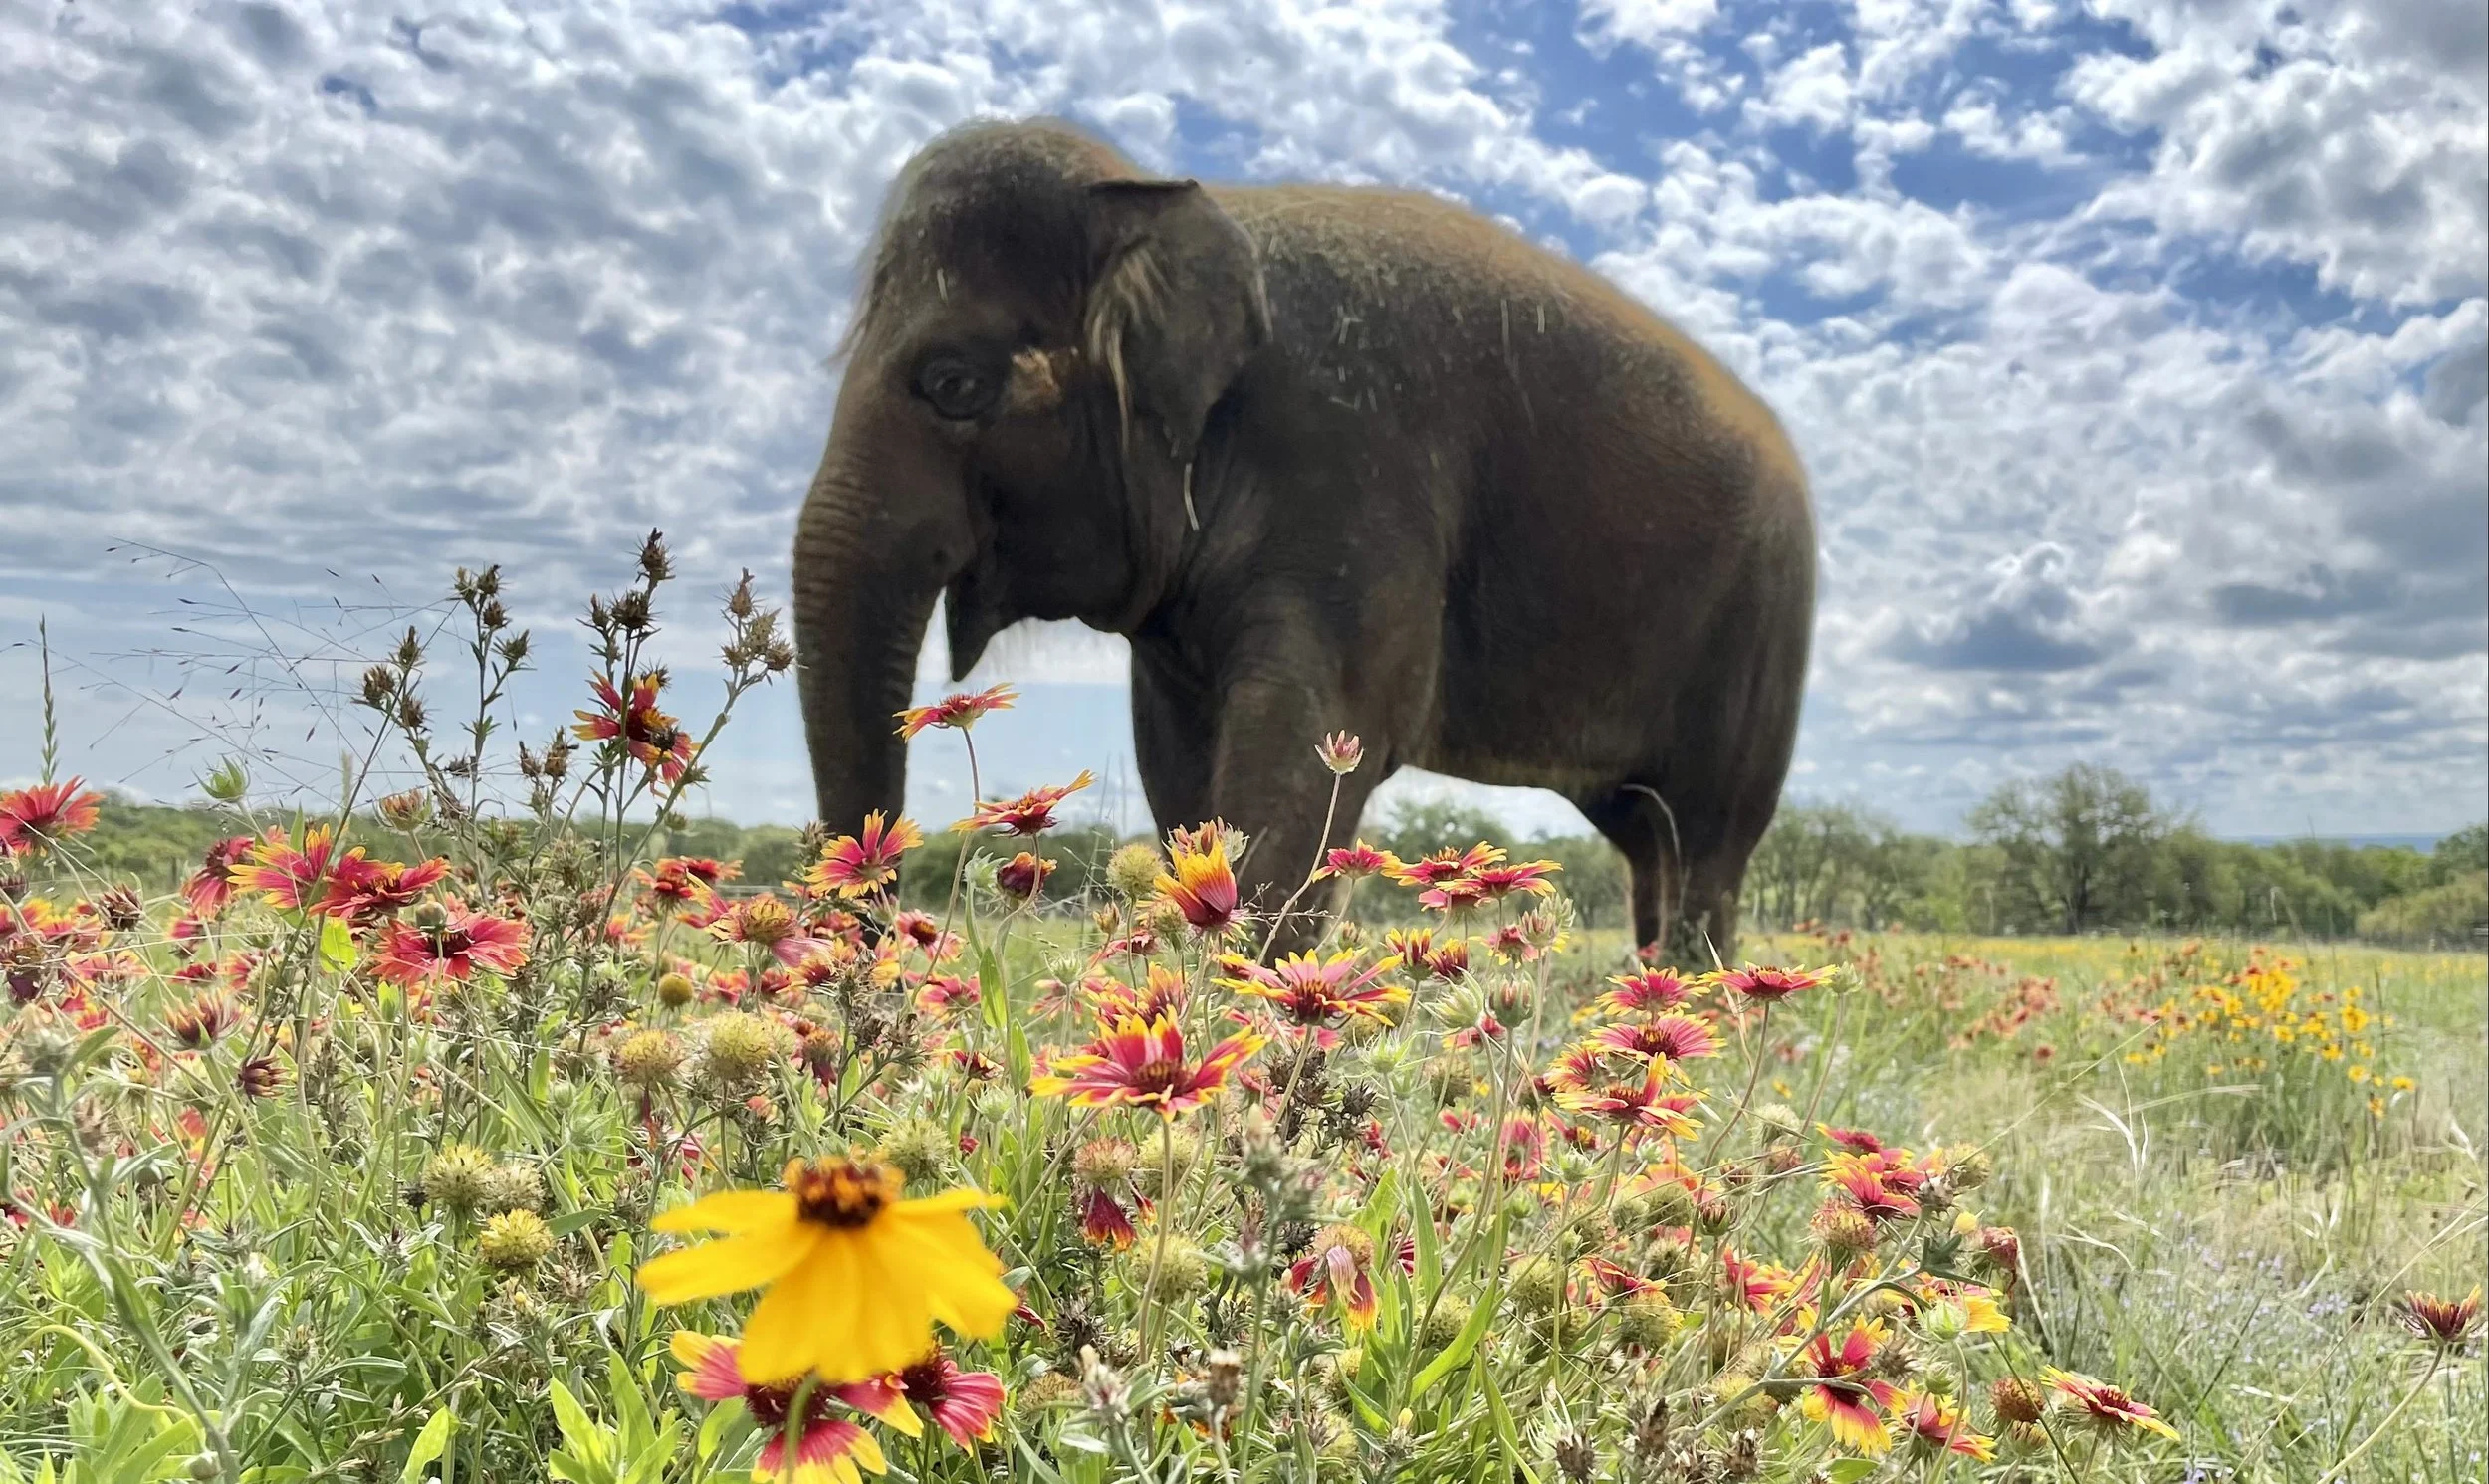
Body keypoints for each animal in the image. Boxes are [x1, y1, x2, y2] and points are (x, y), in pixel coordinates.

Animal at [793, 117, 1816, 962]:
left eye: (953, 383)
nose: (882, 949)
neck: (1167, 199)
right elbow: (1178, 762)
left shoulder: (1356, 476)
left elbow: (1316, 741)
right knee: (1646, 835)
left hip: (1763, 626)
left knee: (1707, 832)